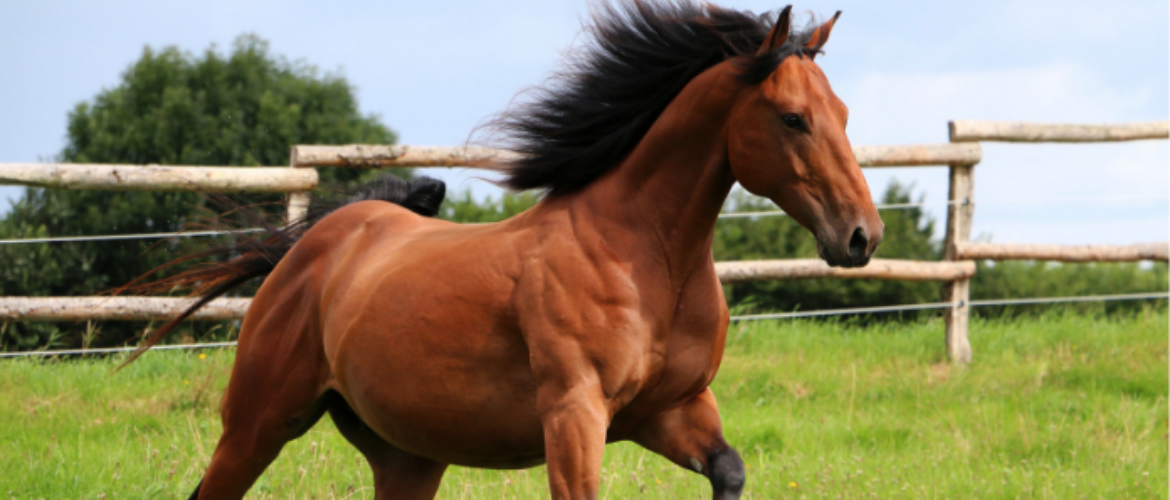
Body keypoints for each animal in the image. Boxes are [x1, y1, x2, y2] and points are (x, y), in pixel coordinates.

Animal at [123, 1, 879, 498]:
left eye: (844, 114)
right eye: (793, 118)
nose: (861, 236)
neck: (643, 259)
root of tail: (318, 245)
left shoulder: (671, 412)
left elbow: (730, 470)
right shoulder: (574, 416)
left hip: (407, 456)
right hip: (258, 423)